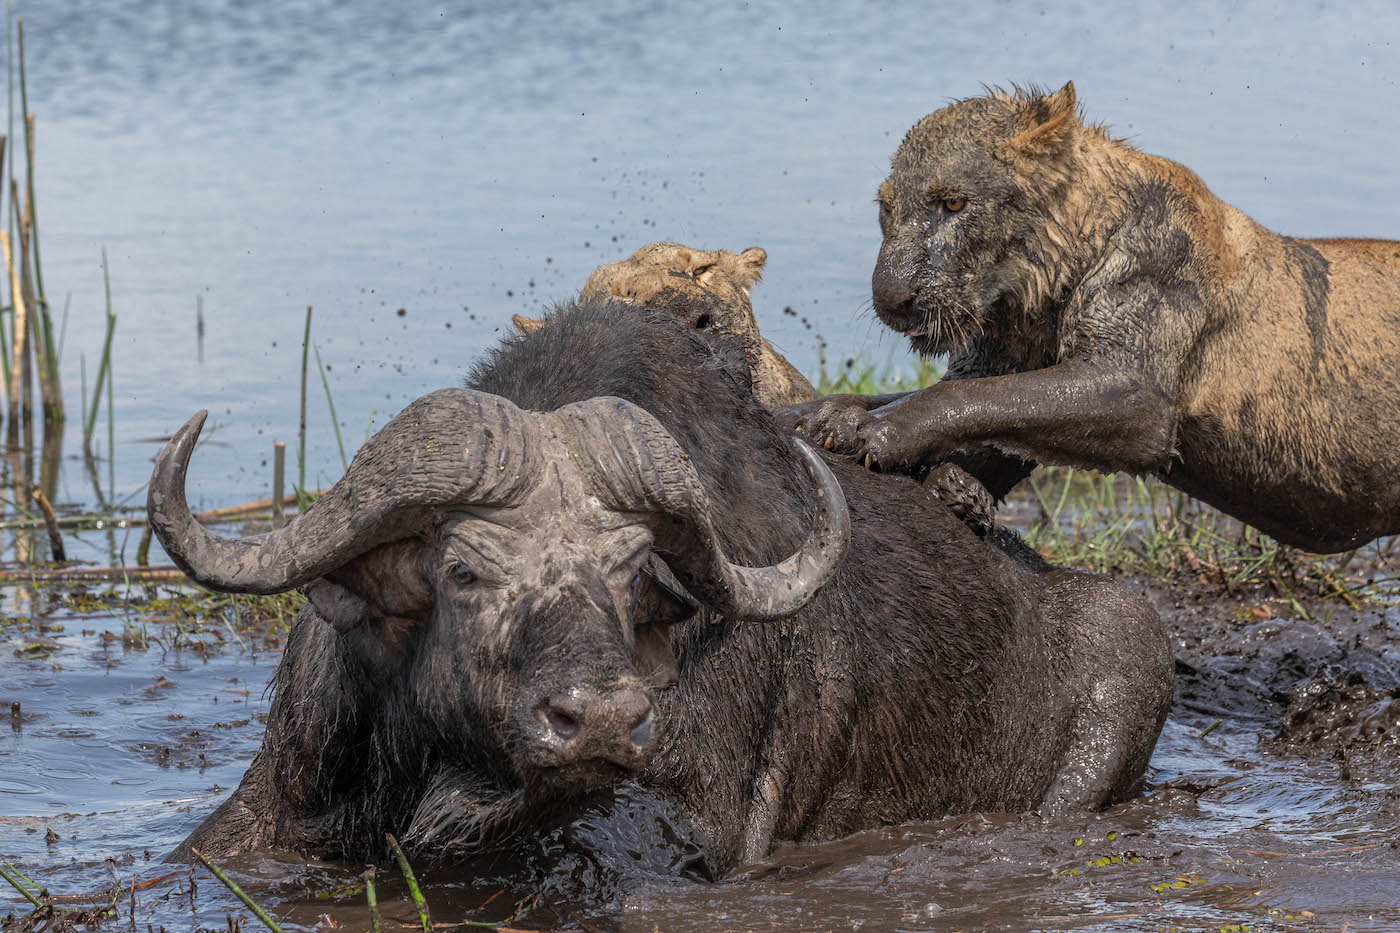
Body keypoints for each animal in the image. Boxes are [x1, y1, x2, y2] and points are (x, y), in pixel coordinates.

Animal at [784, 81, 1400, 551]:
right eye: (886, 209)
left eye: (953, 203)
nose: (891, 300)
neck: (1038, 288)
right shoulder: (997, 368)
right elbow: (957, 404)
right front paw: (825, 414)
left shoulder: (1136, 390)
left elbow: (957, 398)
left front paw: (874, 430)